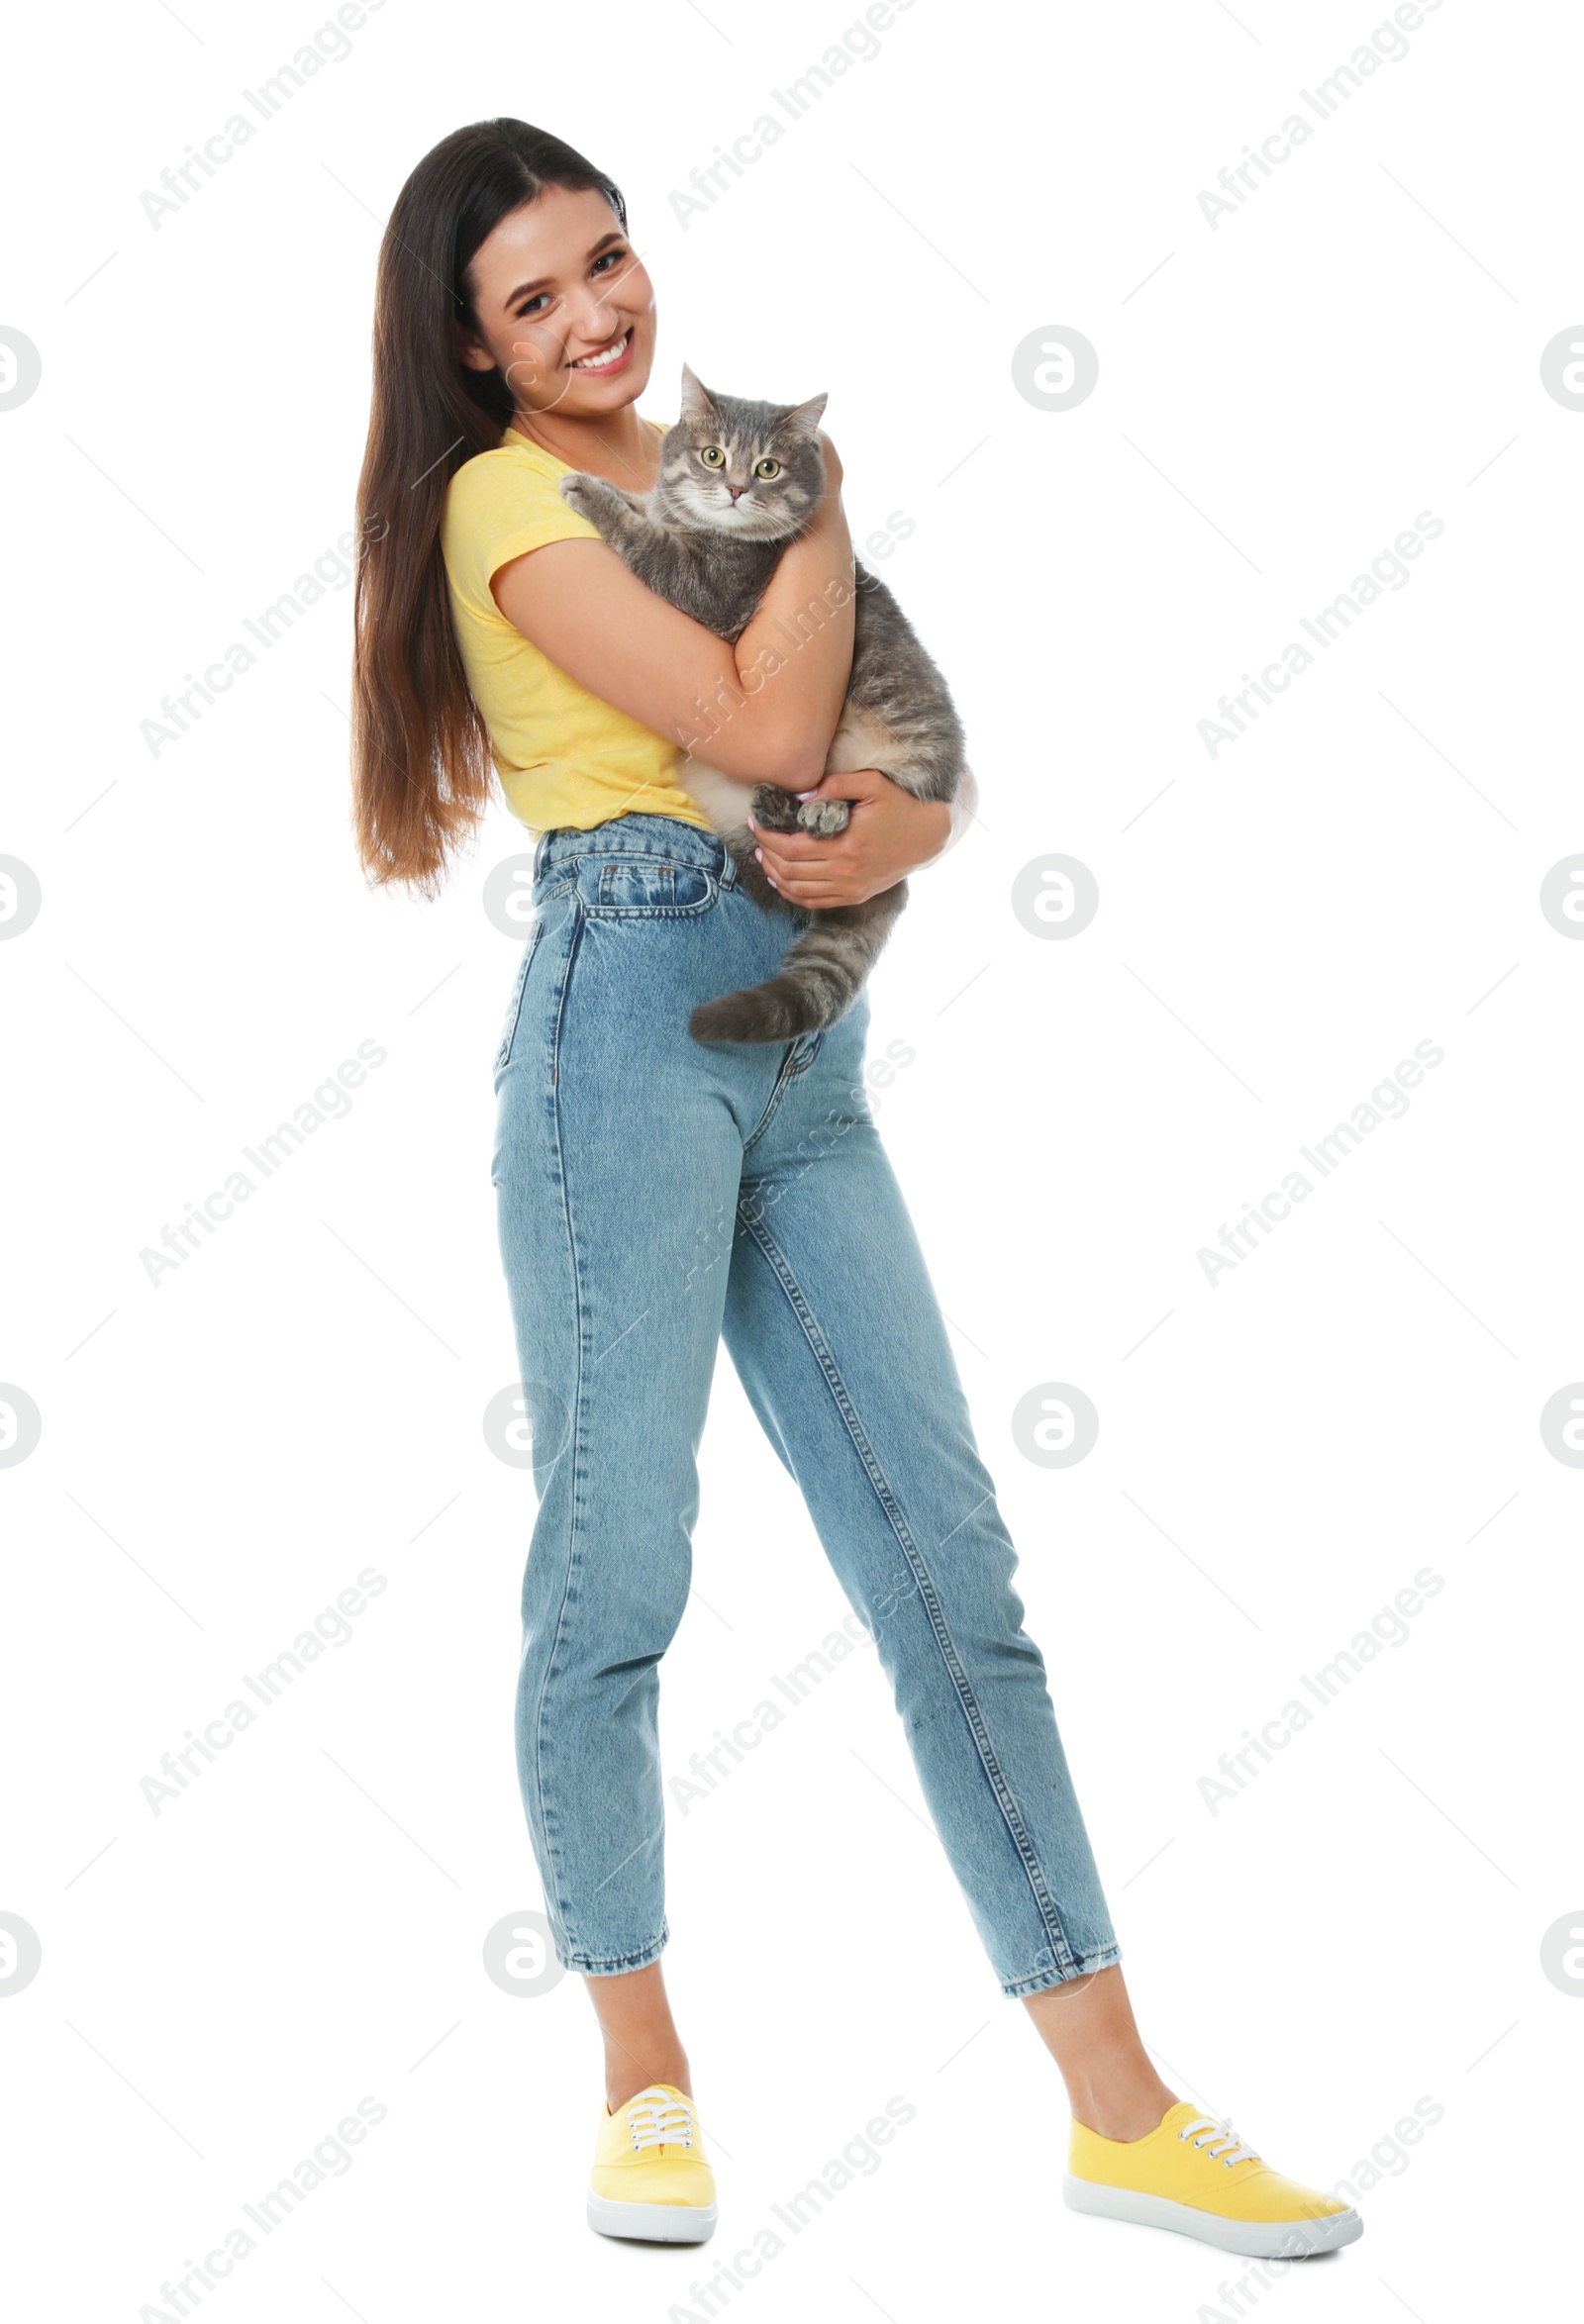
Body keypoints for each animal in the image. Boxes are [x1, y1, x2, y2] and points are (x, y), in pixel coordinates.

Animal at [557, 364, 962, 1045]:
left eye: (768, 467)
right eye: (712, 456)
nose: (737, 488)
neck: (711, 530)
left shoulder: (706, 588)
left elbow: (641, 539)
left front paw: (590, 491)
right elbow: (648, 508)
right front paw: (622, 489)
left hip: (914, 757)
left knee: (874, 802)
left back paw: (825, 809)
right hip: (729, 818)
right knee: (772, 885)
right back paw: (778, 809)